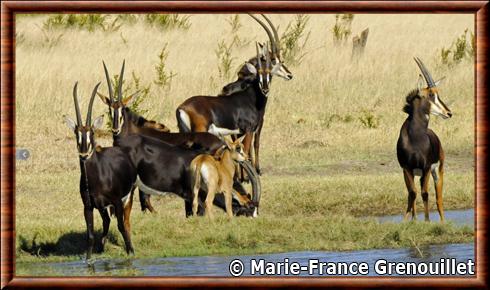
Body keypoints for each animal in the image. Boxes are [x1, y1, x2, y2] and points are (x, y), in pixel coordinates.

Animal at [63, 82, 137, 260]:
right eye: (76, 133)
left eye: (92, 132)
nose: (83, 155)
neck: (96, 178)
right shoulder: (88, 206)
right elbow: (90, 235)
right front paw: (89, 259)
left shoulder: (117, 201)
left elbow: (121, 226)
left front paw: (130, 252)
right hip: (103, 207)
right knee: (106, 221)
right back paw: (102, 246)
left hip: (128, 197)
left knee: (125, 222)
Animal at [175, 14, 292, 176]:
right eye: (275, 61)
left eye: (269, 72)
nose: (289, 75)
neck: (251, 97)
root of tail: (182, 107)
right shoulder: (249, 130)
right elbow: (248, 150)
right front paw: (249, 176)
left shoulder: (238, 132)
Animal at [396, 57, 454, 223]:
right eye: (431, 95)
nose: (448, 113)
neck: (415, 138)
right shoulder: (406, 168)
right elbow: (412, 194)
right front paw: (407, 221)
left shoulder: (427, 167)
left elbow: (425, 193)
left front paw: (427, 221)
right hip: (416, 173)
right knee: (414, 193)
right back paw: (415, 219)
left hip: (437, 171)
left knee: (438, 197)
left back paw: (442, 222)